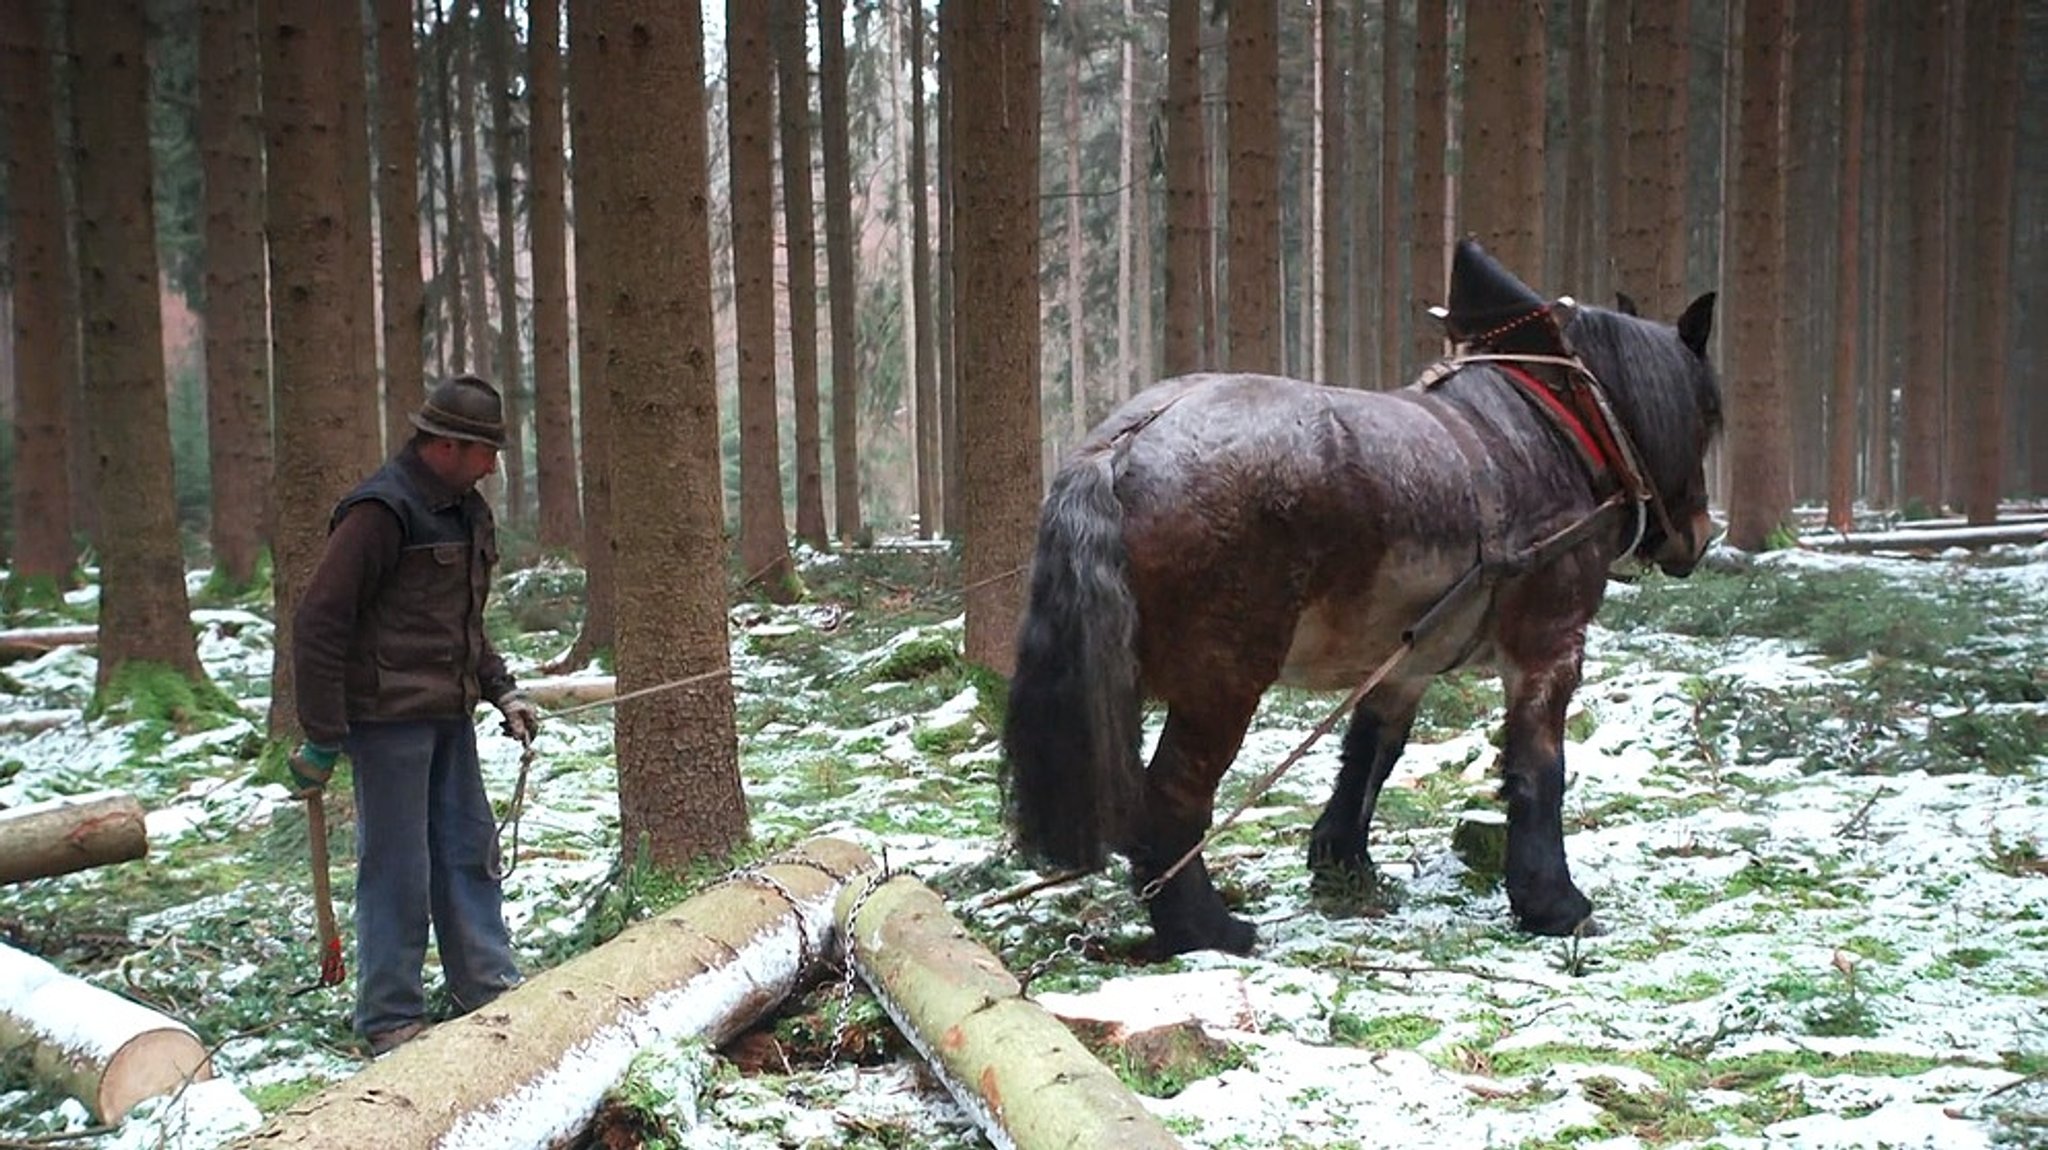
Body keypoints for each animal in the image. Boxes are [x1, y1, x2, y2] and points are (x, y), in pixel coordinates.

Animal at [999, 290, 1720, 953]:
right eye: (1708, 417)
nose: (1700, 536)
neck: (1554, 430)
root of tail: (1123, 444)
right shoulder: (1549, 647)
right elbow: (1539, 771)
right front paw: (1553, 903)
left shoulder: (1406, 660)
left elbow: (1372, 753)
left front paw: (1343, 863)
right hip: (1221, 685)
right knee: (1174, 796)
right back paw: (1204, 928)